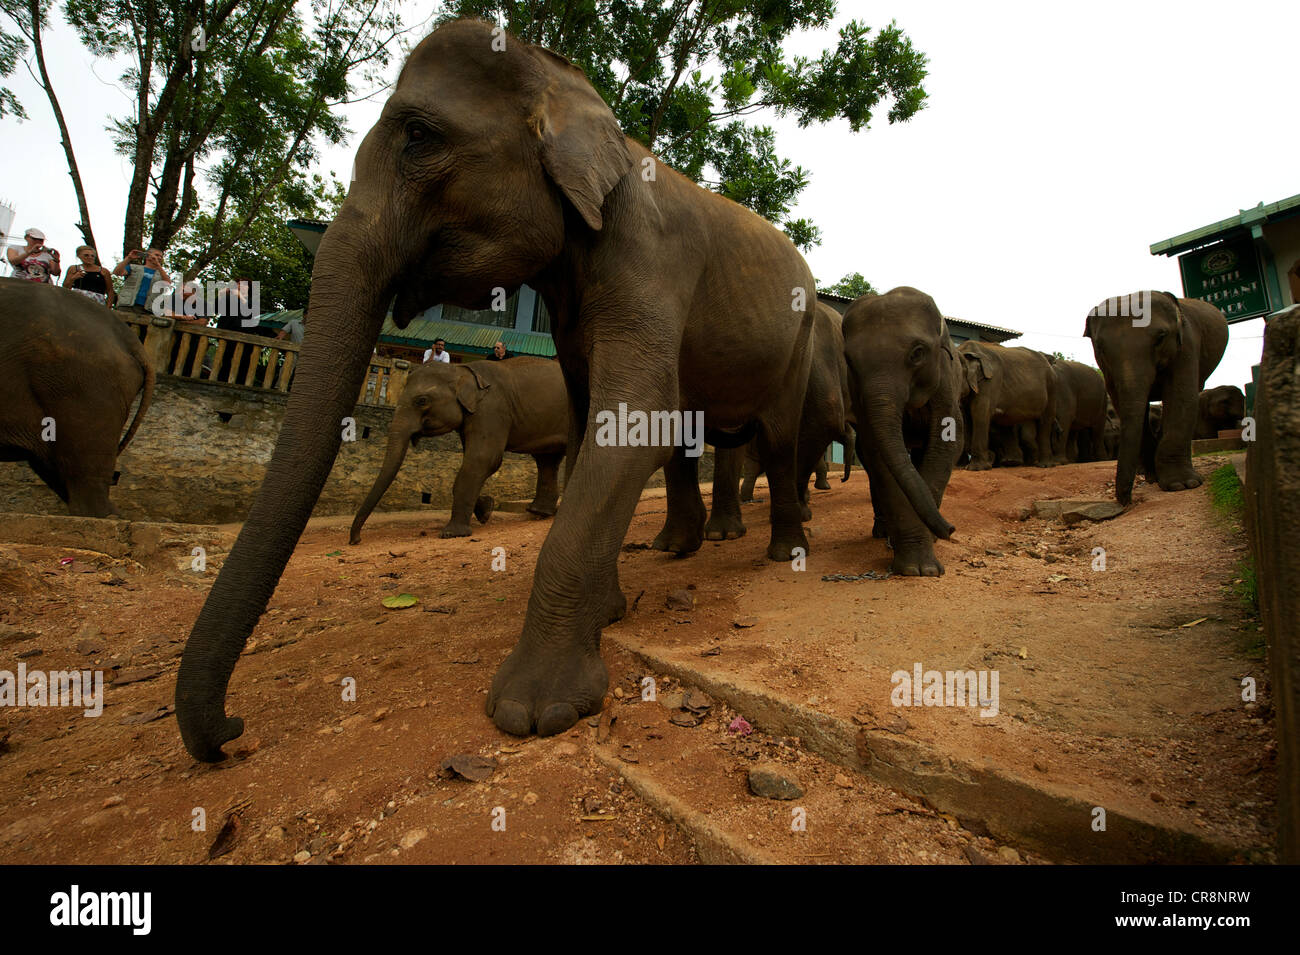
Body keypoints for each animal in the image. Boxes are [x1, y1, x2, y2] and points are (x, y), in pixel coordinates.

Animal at [349, 357, 567, 544]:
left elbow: (483, 459)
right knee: (547, 460)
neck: (462, 370)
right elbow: (472, 461)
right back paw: (539, 512)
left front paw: (451, 533)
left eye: (422, 401)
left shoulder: (492, 409)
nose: (356, 540)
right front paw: (486, 510)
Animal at [844, 287, 962, 576]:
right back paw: (883, 532)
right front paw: (915, 568)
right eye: (850, 361)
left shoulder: (946, 383)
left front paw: (927, 561)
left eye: (917, 353)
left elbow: (945, 446)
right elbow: (878, 454)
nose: (951, 529)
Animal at [959, 341, 1057, 470]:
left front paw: (977, 468)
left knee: (1045, 421)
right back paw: (1012, 462)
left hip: (1051, 386)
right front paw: (988, 459)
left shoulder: (990, 382)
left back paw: (1043, 465)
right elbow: (967, 417)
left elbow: (979, 413)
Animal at [1084, 291, 1228, 505]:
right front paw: (1154, 478)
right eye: (1100, 347)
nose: (1125, 501)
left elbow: (1181, 395)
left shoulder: (1187, 345)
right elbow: (1122, 400)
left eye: (1161, 337)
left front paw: (1182, 485)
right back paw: (1147, 474)